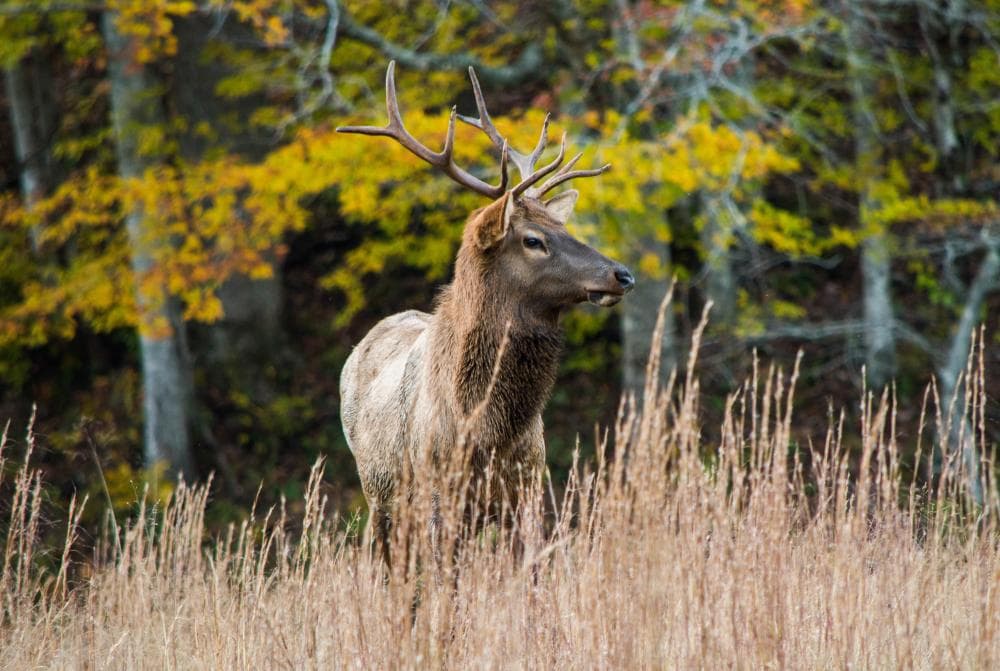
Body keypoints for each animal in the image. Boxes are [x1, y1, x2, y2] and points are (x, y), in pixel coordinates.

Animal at [337, 62, 634, 563]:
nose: (622, 274)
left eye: (565, 228)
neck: (487, 431)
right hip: (378, 493)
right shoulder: (440, 500)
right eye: (533, 240)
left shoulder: (528, 492)